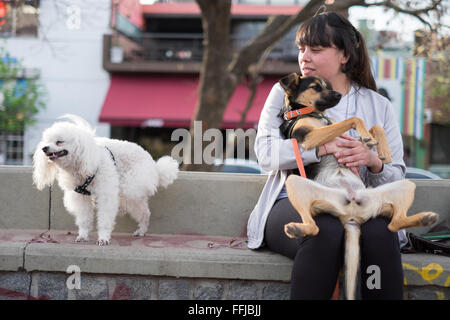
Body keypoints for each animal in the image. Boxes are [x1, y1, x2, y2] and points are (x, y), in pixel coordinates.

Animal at [280, 73, 438, 300]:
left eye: (327, 85)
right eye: (316, 87)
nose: (339, 94)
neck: (313, 114)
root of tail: (351, 217)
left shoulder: (348, 140)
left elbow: (374, 127)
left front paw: (382, 150)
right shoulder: (309, 138)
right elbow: (353, 118)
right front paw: (369, 137)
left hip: (405, 186)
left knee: (395, 223)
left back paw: (426, 218)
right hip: (297, 184)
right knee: (314, 226)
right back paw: (296, 228)